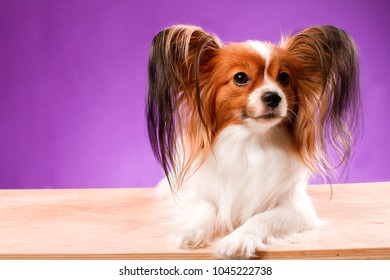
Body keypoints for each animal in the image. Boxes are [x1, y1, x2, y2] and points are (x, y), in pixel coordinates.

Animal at [145, 24, 360, 258]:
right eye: (240, 77)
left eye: (284, 78)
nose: (273, 96)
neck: (251, 143)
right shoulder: (195, 194)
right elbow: (206, 209)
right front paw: (190, 231)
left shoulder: (297, 207)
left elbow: (260, 218)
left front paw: (238, 239)